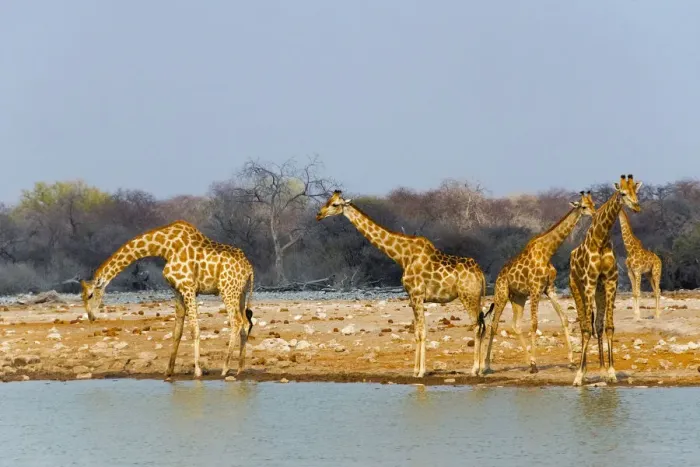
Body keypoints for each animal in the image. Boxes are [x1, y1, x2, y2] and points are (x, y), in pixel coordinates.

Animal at [80, 220, 255, 380]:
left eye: (90, 295)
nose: (91, 317)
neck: (164, 248)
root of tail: (249, 268)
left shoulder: (188, 287)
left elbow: (194, 329)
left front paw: (197, 371)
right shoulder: (177, 289)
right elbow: (177, 331)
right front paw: (169, 371)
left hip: (227, 290)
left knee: (236, 322)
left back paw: (225, 369)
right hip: (240, 292)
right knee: (246, 323)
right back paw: (240, 369)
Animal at [316, 191, 488, 378]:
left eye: (334, 204)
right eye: (327, 201)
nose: (319, 214)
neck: (402, 256)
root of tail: (480, 274)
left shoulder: (417, 295)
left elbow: (422, 331)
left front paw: (421, 372)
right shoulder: (412, 297)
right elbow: (416, 332)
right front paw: (415, 370)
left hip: (468, 296)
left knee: (477, 326)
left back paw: (475, 369)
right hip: (476, 297)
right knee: (483, 325)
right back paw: (481, 368)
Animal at [481, 191, 596, 375]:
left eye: (593, 204)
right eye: (584, 206)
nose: (595, 214)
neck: (547, 252)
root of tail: (499, 276)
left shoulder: (549, 289)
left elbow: (564, 318)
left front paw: (571, 362)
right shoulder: (535, 289)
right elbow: (534, 324)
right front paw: (536, 365)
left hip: (518, 298)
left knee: (516, 325)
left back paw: (528, 361)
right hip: (502, 294)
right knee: (494, 324)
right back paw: (486, 365)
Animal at [570, 174, 642, 386]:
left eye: (636, 191)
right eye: (623, 193)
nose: (637, 206)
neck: (601, 240)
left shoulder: (610, 282)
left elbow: (608, 326)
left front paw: (610, 372)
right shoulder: (589, 283)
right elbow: (586, 329)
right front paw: (579, 375)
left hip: (599, 291)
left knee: (598, 325)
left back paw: (600, 369)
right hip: (576, 287)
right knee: (584, 325)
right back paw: (583, 371)